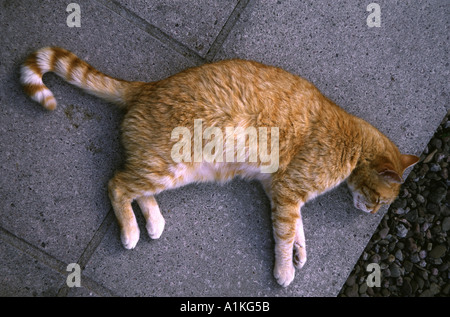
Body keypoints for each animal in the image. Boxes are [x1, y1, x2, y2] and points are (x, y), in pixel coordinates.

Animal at [21, 47, 418, 286]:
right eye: (381, 201)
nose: (371, 213)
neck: (354, 143)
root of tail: (146, 87)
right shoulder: (288, 193)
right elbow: (285, 233)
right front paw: (285, 269)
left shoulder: (279, 191)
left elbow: (298, 229)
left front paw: (300, 252)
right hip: (169, 165)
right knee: (118, 184)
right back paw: (131, 231)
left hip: (174, 171)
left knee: (138, 188)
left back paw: (153, 222)